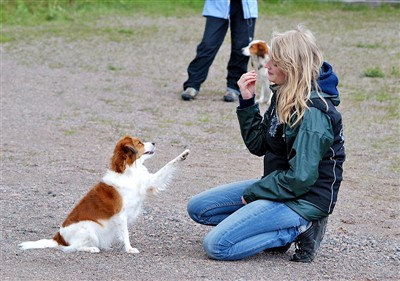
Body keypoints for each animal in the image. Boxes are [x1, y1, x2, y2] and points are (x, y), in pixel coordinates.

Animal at [17, 136, 189, 254]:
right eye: (139, 142)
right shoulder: (121, 214)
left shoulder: (149, 182)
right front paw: (129, 249)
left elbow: (168, 166)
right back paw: (92, 248)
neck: (128, 171)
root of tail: (58, 237)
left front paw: (183, 154)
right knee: (73, 247)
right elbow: (126, 234)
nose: (154, 142)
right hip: (88, 228)